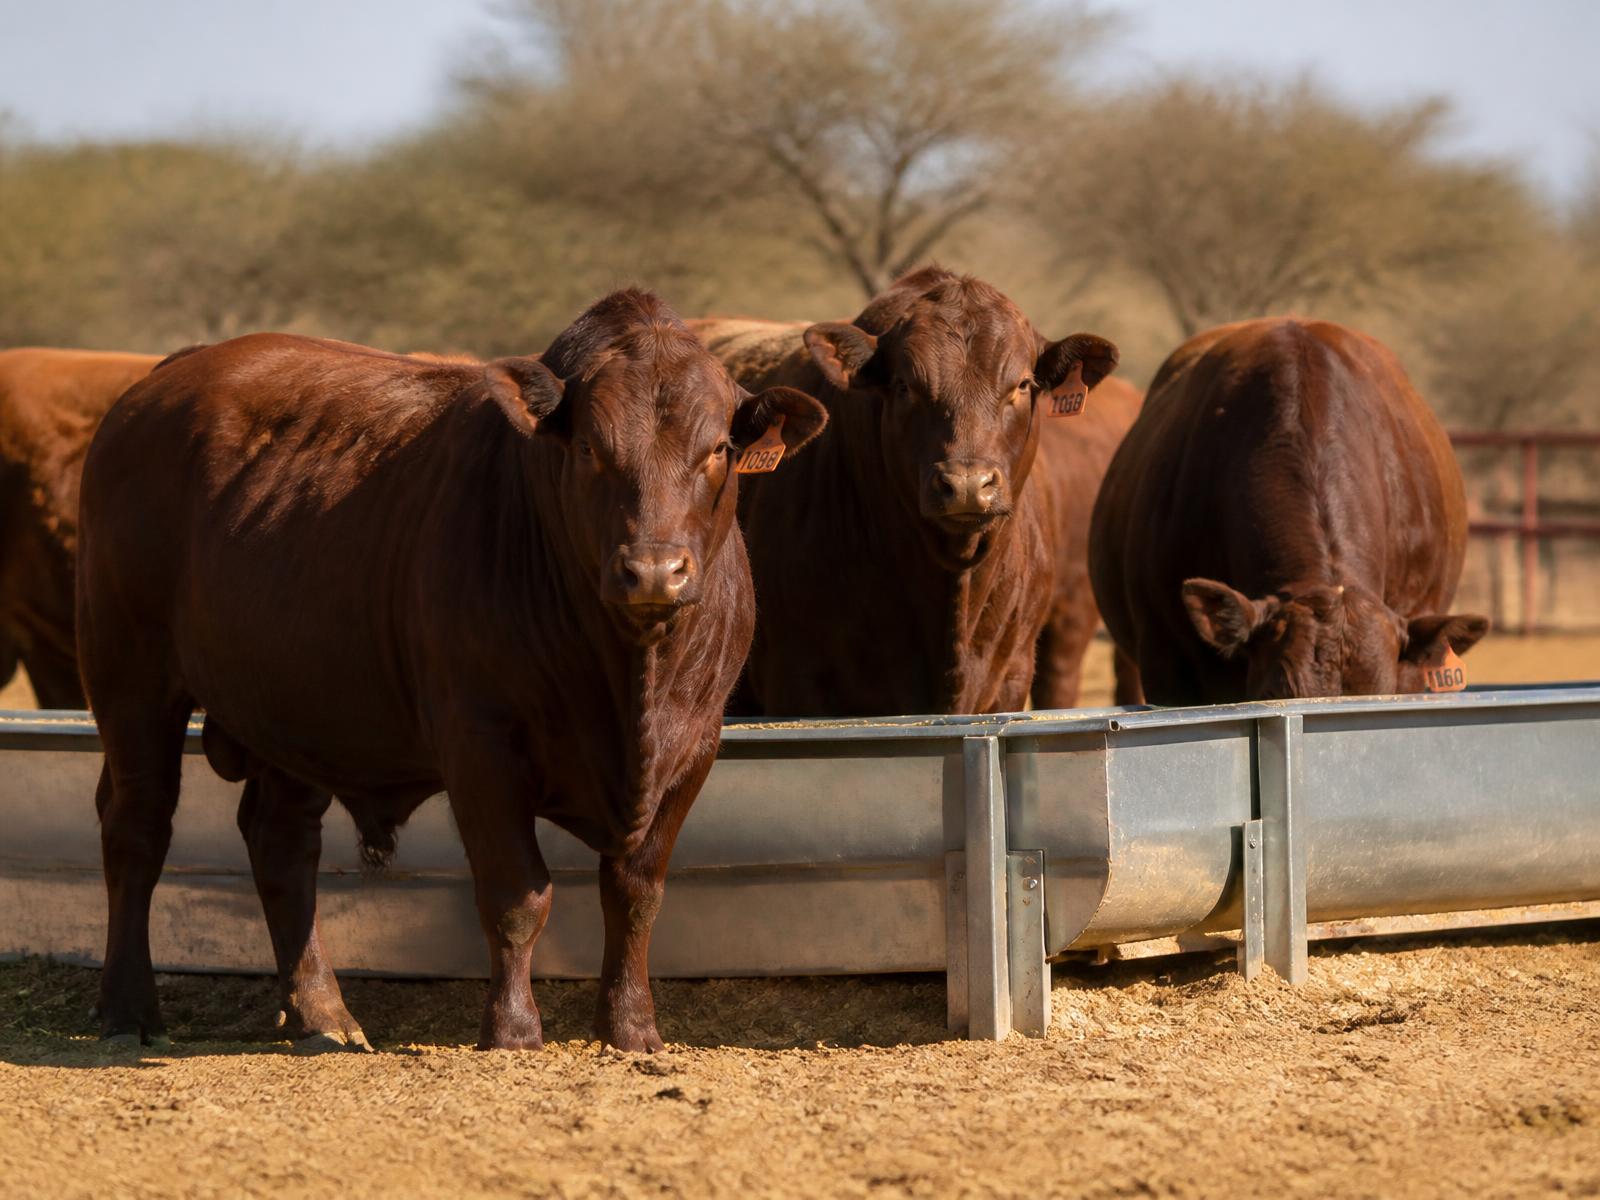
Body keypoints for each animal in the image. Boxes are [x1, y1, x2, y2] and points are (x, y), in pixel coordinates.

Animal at [77, 290, 826, 1052]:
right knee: (136, 825)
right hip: (129, 673)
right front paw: (513, 1028)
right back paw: (128, 1007)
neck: (629, 679)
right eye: (590, 447)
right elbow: (517, 894)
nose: (653, 570)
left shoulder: (694, 746)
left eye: (719, 450)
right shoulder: (481, 743)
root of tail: (171, 375)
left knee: (280, 841)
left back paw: (322, 1012)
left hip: (292, 705)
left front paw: (631, 1026)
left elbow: (636, 893)